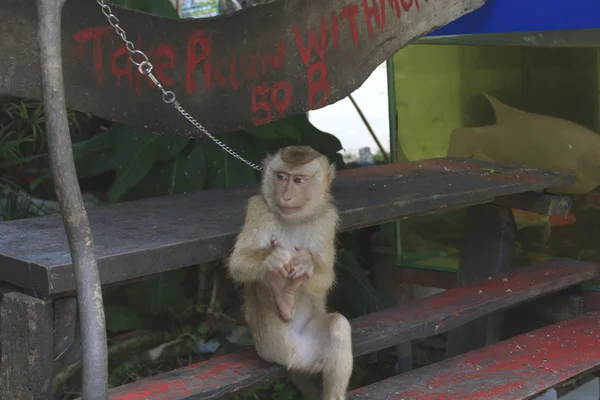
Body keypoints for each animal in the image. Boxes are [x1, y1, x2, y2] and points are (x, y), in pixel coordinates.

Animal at [227, 145, 354, 398]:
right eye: (281, 177)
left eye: (298, 180)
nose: (285, 196)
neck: (294, 219)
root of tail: (292, 357)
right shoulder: (258, 208)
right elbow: (238, 262)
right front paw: (273, 258)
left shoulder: (327, 218)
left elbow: (326, 277)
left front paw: (307, 263)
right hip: (268, 343)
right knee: (261, 280)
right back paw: (281, 294)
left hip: (310, 350)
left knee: (338, 326)